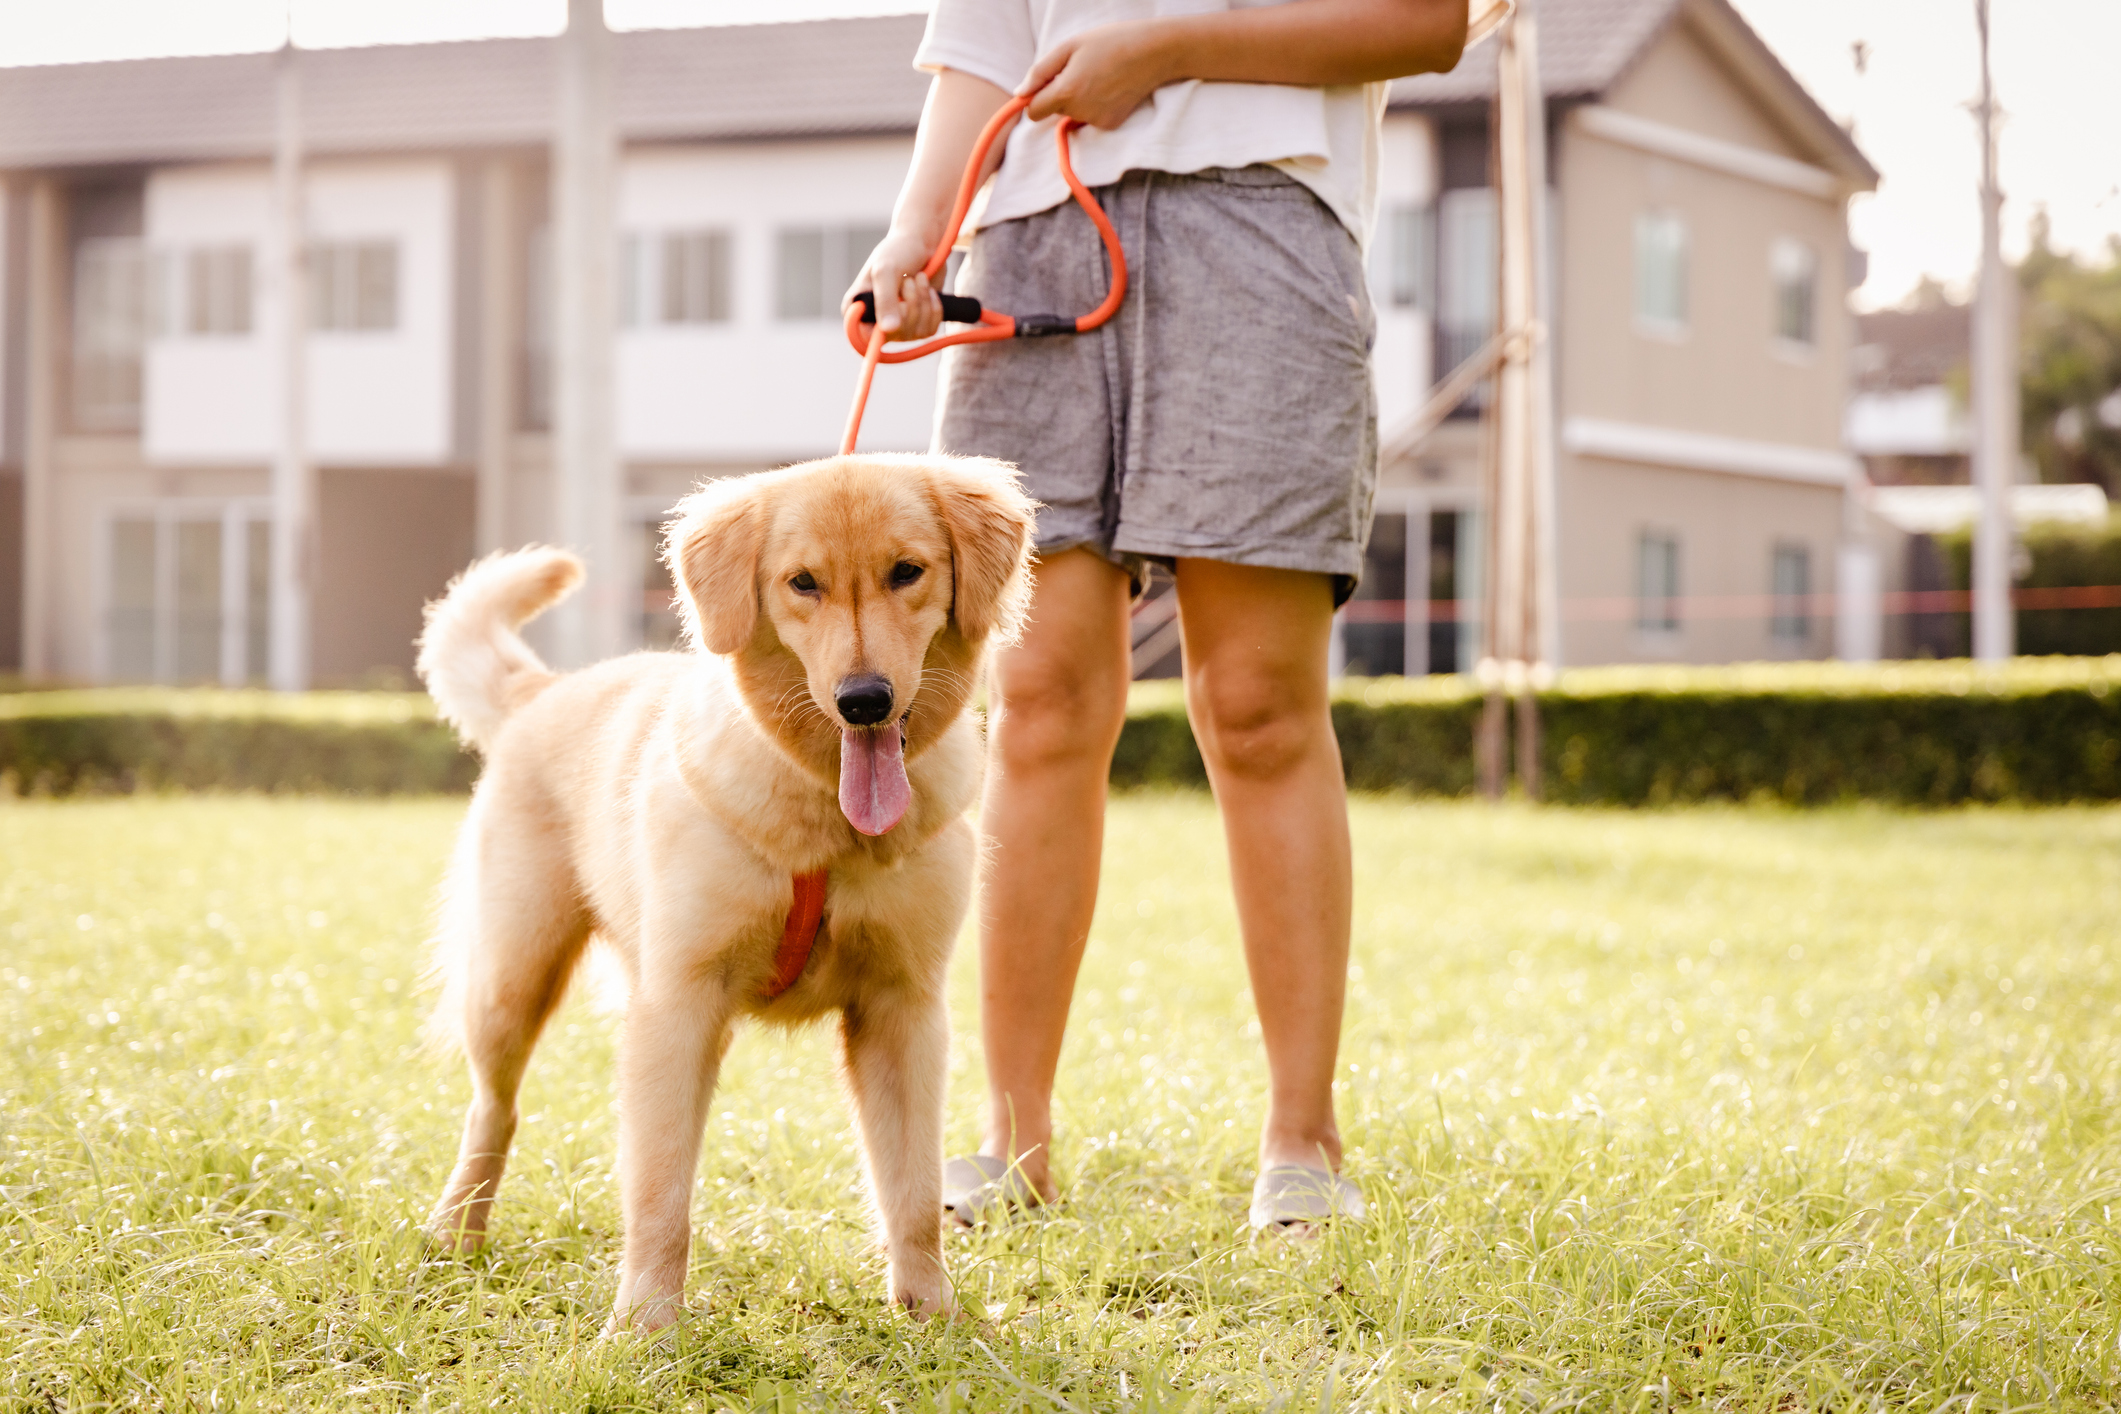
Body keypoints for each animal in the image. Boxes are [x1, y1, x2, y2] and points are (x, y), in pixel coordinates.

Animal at [411, 455, 1035, 1339]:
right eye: (802, 583)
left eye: (906, 572)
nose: (865, 700)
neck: (822, 821)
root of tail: (544, 691)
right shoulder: (678, 1004)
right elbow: (660, 1193)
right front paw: (643, 1327)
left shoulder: (903, 1009)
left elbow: (912, 1192)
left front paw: (931, 1316)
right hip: (510, 979)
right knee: (492, 1112)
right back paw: (456, 1232)